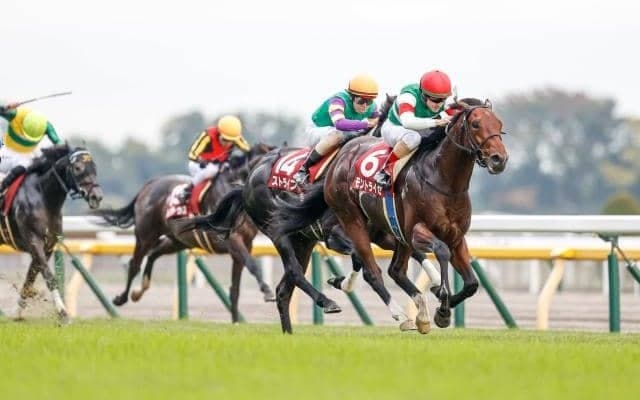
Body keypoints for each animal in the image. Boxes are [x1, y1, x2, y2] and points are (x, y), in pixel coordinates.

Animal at [0, 144, 103, 324]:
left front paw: (17, 313)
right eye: (78, 168)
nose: (96, 196)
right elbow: (49, 277)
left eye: (94, 167)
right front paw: (63, 313)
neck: (43, 196)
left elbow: (30, 279)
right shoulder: (34, 241)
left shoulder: (48, 246)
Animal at [92, 143, 275, 323]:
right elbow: (252, 265)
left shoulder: (246, 244)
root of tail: (150, 184)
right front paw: (267, 291)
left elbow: (235, 288)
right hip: (146, 235)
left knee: (153, 254)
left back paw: (139, 291)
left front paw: (236, 322)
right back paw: (121, 298)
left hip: (177, 240)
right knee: (134, 265)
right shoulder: (232, 241)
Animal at [172, 144, 441, 334]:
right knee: (294, 272)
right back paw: (327, 301)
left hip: (302, 242)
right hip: (278, 233)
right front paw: (343, 282)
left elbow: (411, 251)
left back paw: (289, 334)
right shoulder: (336, 235)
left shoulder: (383, 233)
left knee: (284, 288)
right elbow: (360, 258)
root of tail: (247, 181)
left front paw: (437, 282)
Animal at [272, 98, 508, 333]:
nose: (499, 159)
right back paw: (401, 315)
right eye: (476, 124)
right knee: (372, 271)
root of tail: (341, 158)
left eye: (499, 124)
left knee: (396, 271)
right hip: (351, 219)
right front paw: (442, 303)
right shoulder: (415, 231)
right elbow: (441, 251)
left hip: (391, 233)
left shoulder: (456, 237)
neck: (443, 181)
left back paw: (420, 314)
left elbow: (472, 284)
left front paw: (442, 310)